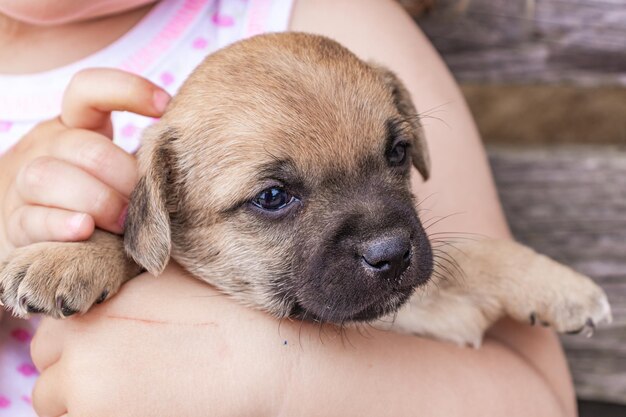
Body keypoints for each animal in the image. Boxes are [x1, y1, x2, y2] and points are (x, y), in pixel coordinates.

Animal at [0, 32, 608, 346]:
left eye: (398, 152)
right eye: (272, 198)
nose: (393, 253)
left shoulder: (433, 306)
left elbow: (480, 254)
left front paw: (563, 287)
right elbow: (136, 244)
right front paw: (66, 256)